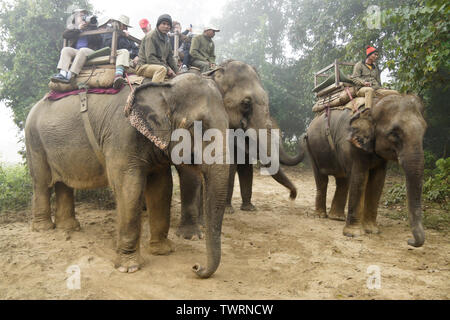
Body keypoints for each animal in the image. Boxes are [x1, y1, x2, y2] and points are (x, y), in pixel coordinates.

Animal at [25, 73, 232, 278]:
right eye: (194, 126)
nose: (196, 267)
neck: (164, 86)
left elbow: (162, 187)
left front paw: (162, 251)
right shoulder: (121, 136)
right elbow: (128, 186)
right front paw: (129, 267)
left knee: (63, 183)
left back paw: (69, 228)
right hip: (33, 140)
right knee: (42, 183)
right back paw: (44, 228)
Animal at [175, 60, 302, 240]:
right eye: (246, 103)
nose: (292, 195)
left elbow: (245, 167)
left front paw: (249, 209)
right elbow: (228, 166)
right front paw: (227, 211)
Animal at [306, 94, 426, 246]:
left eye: (424, 131)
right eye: (394, 133)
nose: (410, 241)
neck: (374, 104)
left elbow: (377, 181)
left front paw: (372, 231)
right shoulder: (351, 143)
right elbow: (359, 177)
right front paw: (354, 234)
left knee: (342, 181)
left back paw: (337, 218)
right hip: (311, 146)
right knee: (322, 179)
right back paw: (320, 216)